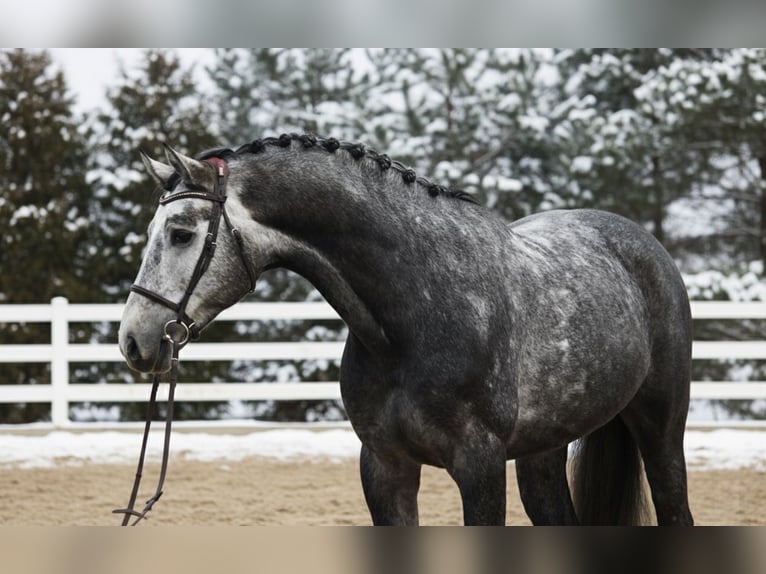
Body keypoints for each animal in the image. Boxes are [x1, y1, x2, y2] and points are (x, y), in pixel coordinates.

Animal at [118, 133, 694, 525]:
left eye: (181, 232)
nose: (133, 341)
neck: (414, 316)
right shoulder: (384, 467)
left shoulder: (480, 467)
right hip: (542, 453)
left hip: (661, 429)